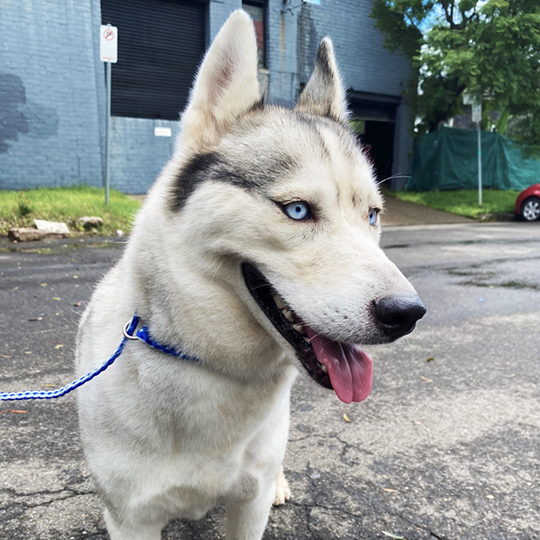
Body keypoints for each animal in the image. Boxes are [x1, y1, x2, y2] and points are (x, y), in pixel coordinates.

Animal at [77, 9, 426, 540]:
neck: (209, 367)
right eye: (298, 210)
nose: (407, 314)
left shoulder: (249, 505)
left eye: (372, 215)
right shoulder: (131, 518)